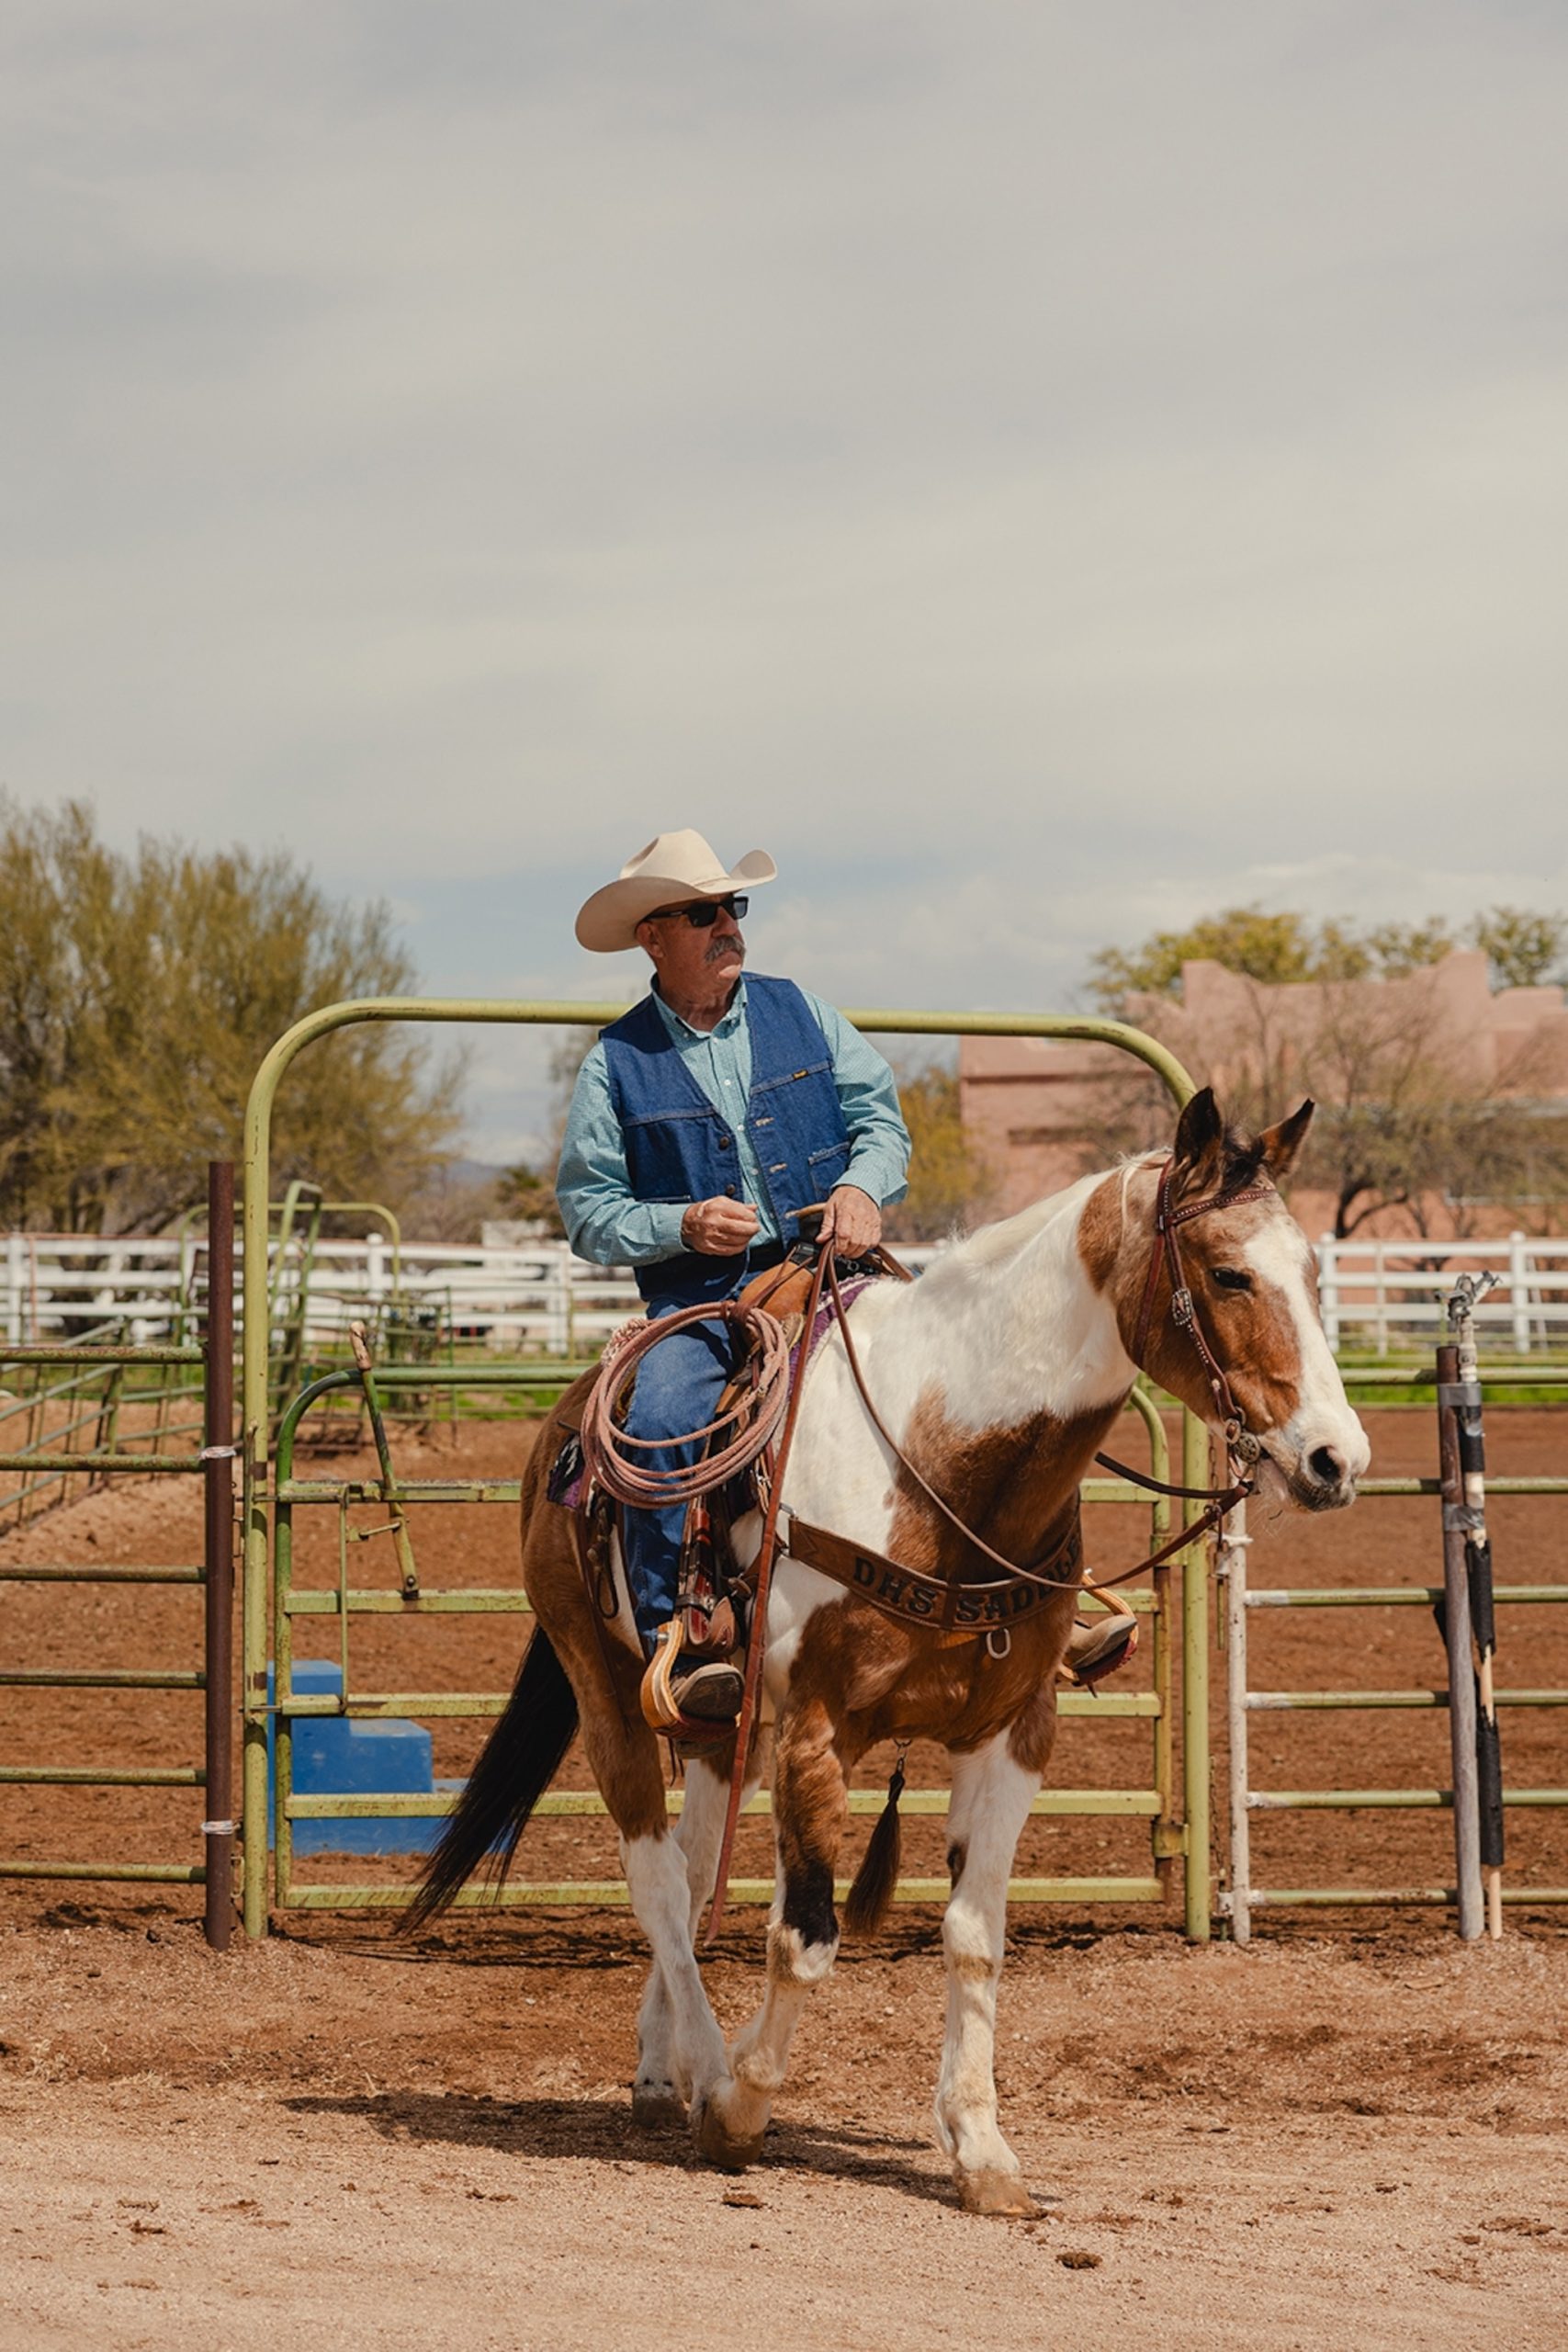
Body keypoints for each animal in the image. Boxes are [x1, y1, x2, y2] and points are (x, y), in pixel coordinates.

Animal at [411, 1091, 1363, 2211]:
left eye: (1310, 1272)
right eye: (1226, 1274)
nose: (1337, 1458)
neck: (940, 1459)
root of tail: (565, 1423)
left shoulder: (1010, 1735)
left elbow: (973, 1941)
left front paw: (982, 2150)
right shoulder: (817, 1730)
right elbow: (803, 1939)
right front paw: (740, 2107)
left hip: (717, 1724)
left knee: (687, 1868)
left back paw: (658, 2068)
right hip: (605, 1687)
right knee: (655, 1878)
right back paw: (701, 2065)